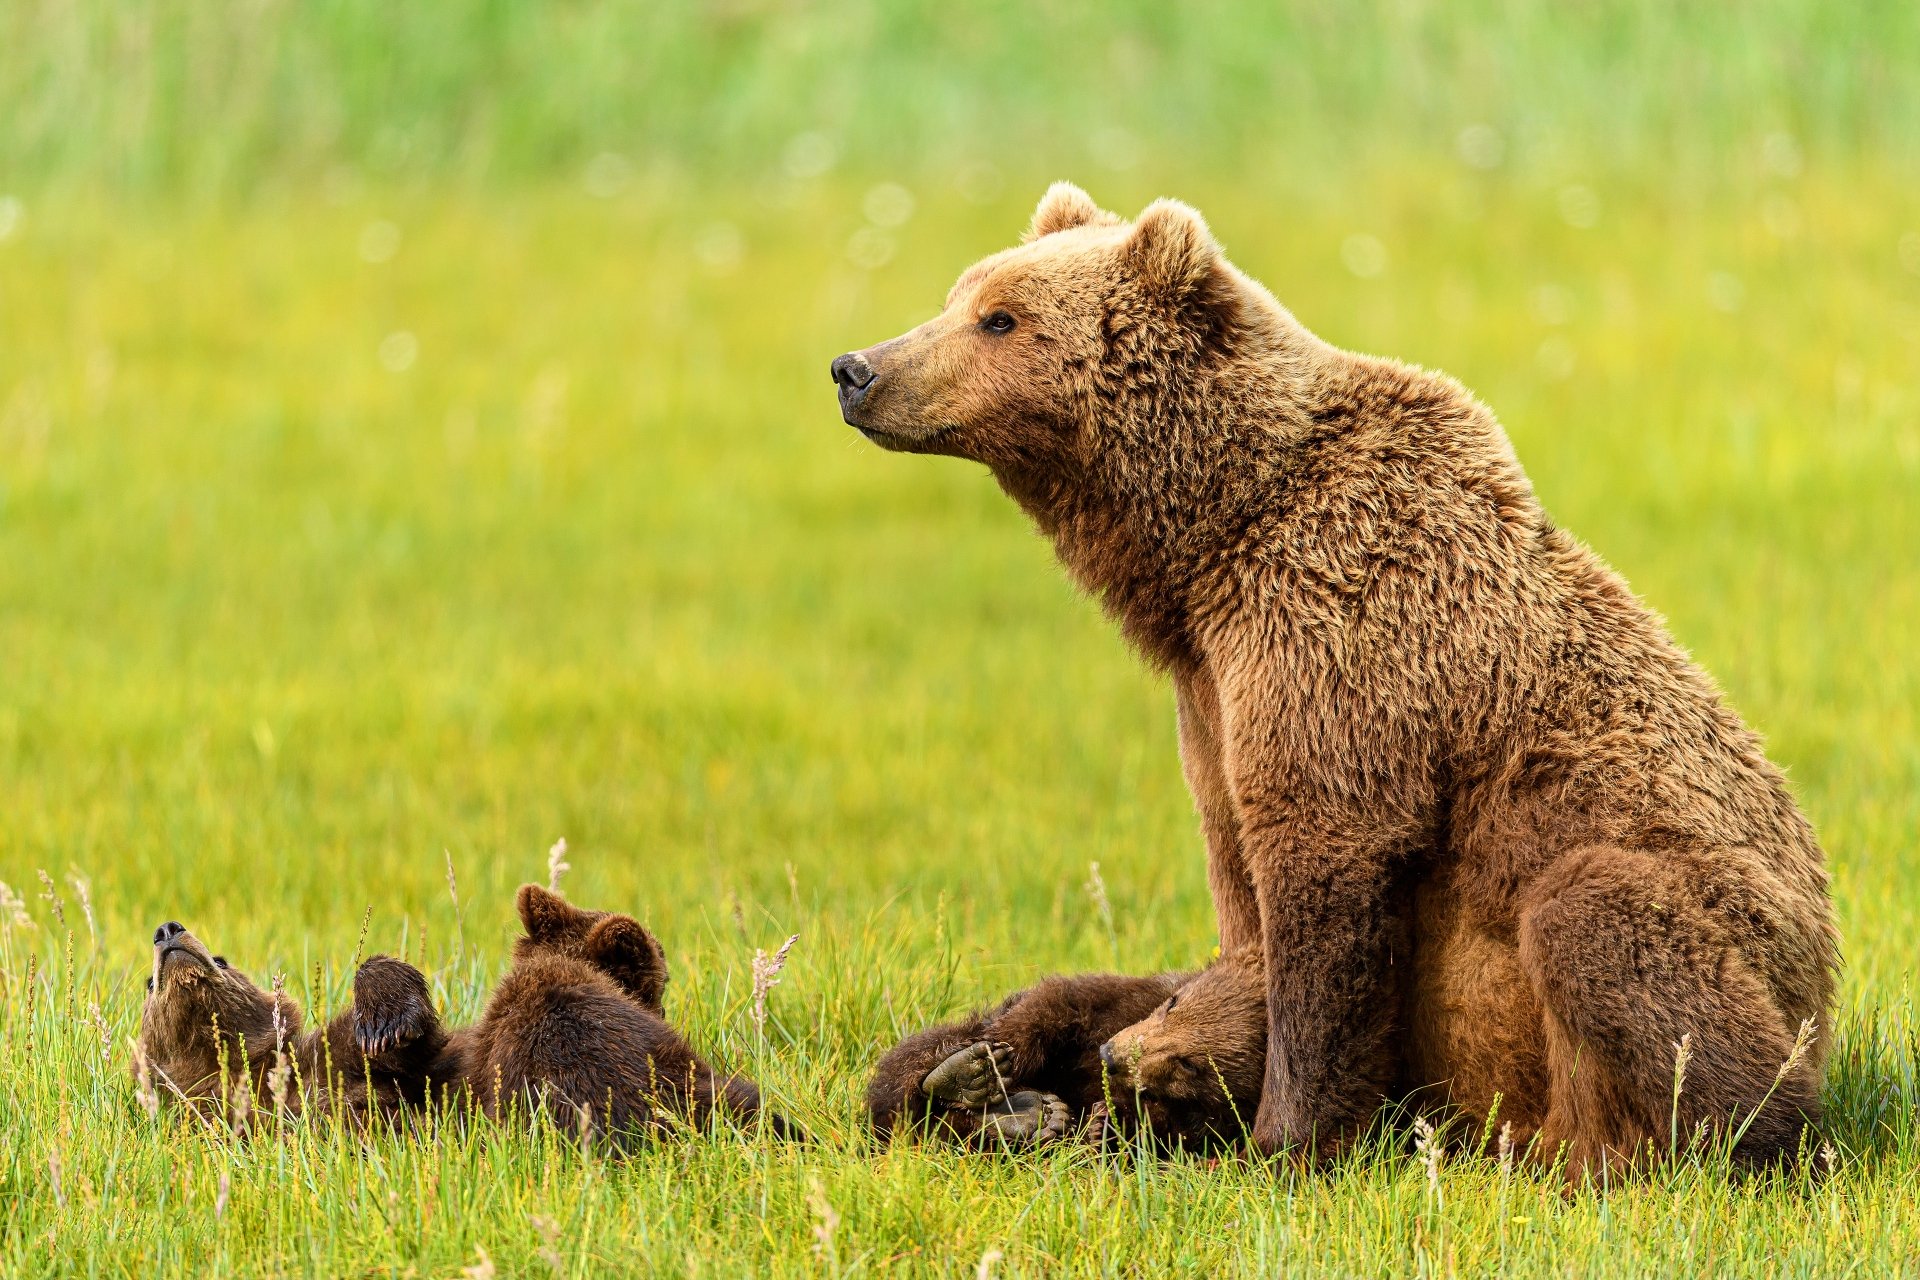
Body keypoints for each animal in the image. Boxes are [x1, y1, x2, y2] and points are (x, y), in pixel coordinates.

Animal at [139, 921, 445, 1120]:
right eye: (150, 983)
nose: (167, 929)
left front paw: (383, 1025)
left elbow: (410, 1057)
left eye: (221, 960)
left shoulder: (326, 1066)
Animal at [867, 951, 1259, 1151]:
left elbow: (1176, 1130)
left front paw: (1108, 1124)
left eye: (1190, 1064)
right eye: (1173, 1004)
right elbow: (1059, 1001)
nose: (1111, 1056)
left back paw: (1033, 1115)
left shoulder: (1217, 1118)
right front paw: (985, 1064)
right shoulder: (1128, 997)